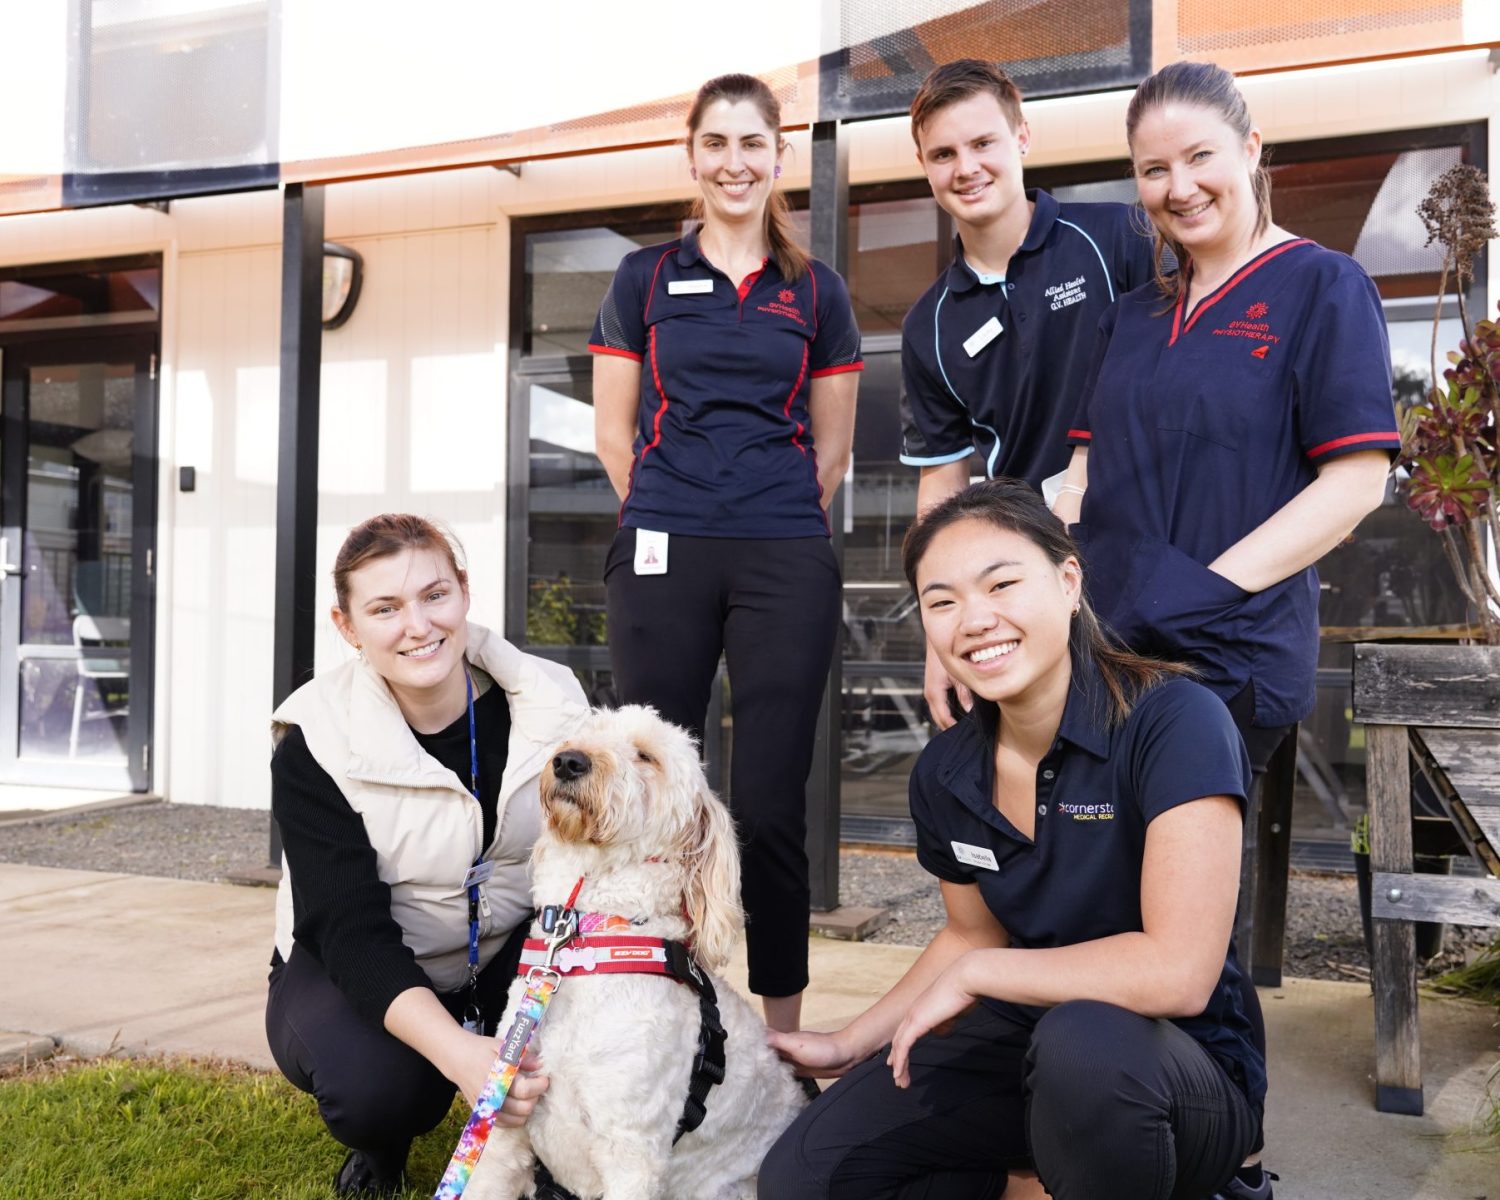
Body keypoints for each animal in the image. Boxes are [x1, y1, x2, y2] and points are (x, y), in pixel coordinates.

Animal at [468, 708, 810, 1194]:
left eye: (646, 756)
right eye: (586, 733)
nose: (568, 761)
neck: (587, 942)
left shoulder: (632, 1154)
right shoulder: (502, 1126)